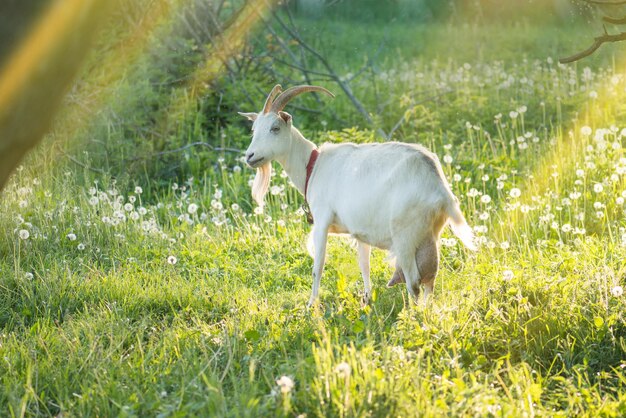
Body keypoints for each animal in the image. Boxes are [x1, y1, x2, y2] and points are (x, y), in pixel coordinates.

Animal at [239, 85, 472, 306]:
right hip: (430, 234)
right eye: (253, 130)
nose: (250, 156)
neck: (312, 166)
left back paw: (413, 315)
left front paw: (311, 305)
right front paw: (367, 299)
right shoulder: (360, 231)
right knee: (429, 278)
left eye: (275, 128)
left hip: (406, 235)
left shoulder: (322, 221)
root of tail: (438, 185)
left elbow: (318, 265)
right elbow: (364, 264)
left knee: (413, 280)